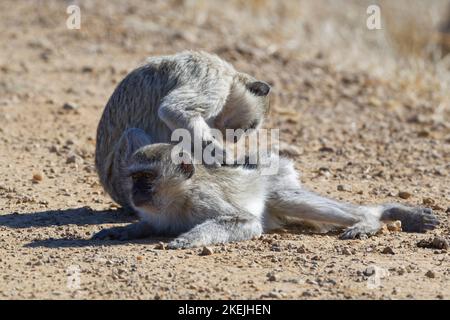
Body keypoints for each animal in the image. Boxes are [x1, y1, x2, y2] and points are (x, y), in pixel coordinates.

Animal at [93, 132, 442, 248]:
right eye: (135, 178)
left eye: (147, 178)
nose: (136, 192)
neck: (176, 199)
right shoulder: (155, 215)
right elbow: (145, 224)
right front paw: (121, 231)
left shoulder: (203, 200)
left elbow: (246, 222)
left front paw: (190, 239)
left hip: (280, 185)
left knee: (288, 200)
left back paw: (370, 220)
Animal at [96, 51, 270, 209]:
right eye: (251, 126)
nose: (236, 138)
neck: (229, 78)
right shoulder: (212, 79)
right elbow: (173, 110)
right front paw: (220, 157)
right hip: (120, 179)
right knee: (134, 134)